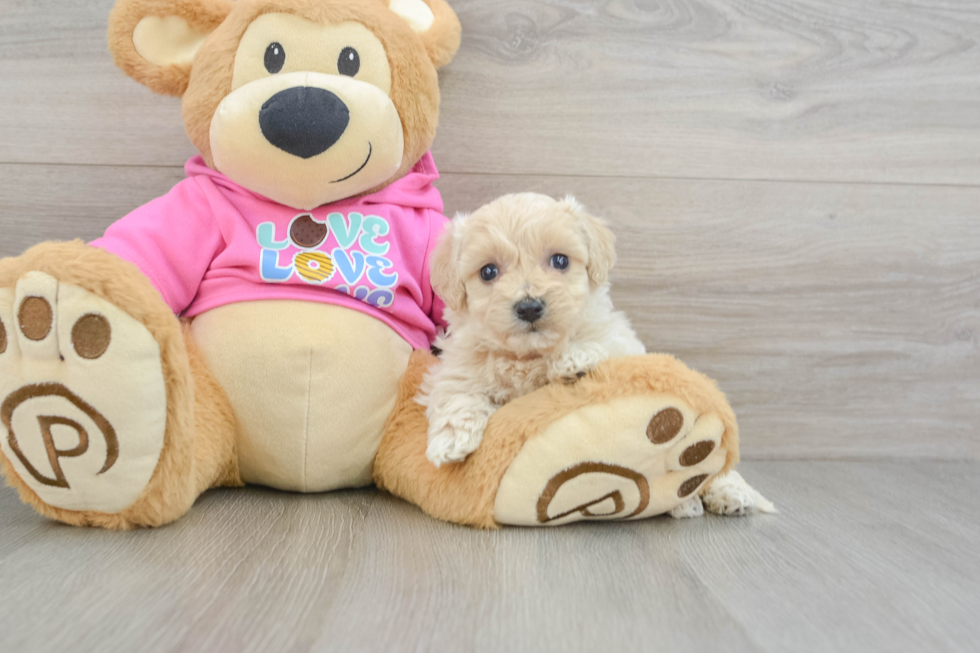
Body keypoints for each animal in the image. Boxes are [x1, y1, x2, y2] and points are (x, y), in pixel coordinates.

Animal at [420, 191, 644, 466]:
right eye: (488, 271)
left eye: (560, 260)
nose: (529, 308)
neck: (528, 355)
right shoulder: (458, 365)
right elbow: (455, 392)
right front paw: (450, 440)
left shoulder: (622, 339)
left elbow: (604, 341)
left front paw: (575, 359)